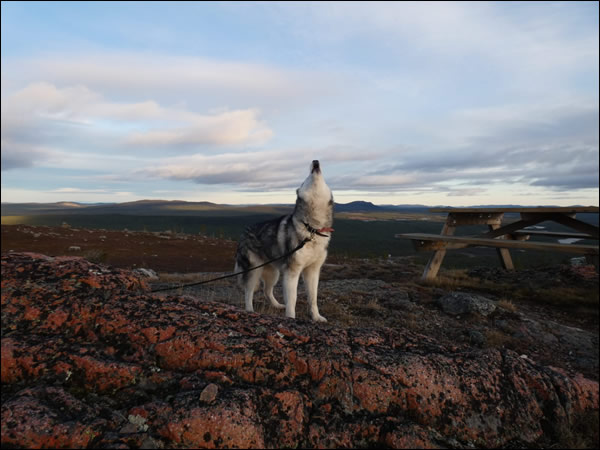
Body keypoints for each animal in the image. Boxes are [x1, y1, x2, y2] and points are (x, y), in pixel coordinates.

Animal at [234, 160, 334, 322]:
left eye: (324, 179)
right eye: (305, 179)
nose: (315, 161)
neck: (311, 229)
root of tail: (244, 232)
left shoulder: (312, 271)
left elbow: (313, 298)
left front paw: (316, 317)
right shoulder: (291, 271)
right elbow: (292, 299)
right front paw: (291, 318)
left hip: (273, 273)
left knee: (267, 290)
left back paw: (277, 305)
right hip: (254, 269)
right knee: (248, 292)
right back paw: (250, 310)